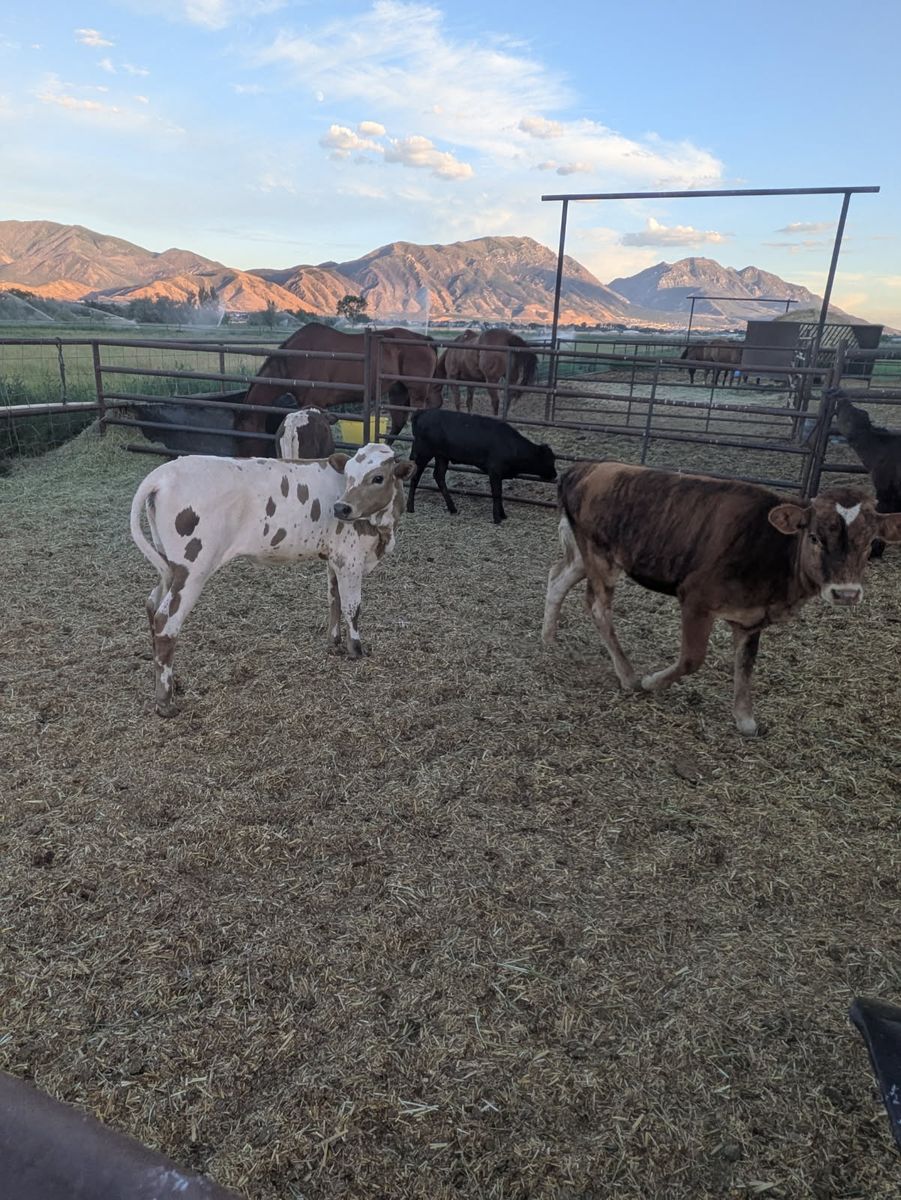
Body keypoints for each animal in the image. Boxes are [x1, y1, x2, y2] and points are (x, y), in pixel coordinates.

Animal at [130, 444, 417, 716]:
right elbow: (352, 607)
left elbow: (333, 600)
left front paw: (334, 645)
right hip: (193, 569)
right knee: (166, 620)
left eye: (378, 477)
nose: (340, 507)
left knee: (152, 604)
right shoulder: (351, 558)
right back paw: (165, 703)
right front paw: (356, 649)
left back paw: (173, 683)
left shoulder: (334, 559)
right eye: (348, 475)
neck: (384, 528)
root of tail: (162, 474)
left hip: (169, 565)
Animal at [406, 408, 557, 524]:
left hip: (442, 456)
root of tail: (423, 412)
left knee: (439, 476)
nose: (555, 475)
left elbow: (499, 493)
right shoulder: (494, 471)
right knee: (415, 476)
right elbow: (496, 493)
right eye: (550, 460)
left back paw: (452, 508)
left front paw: (503, 515)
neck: (511, 445)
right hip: (423, 453)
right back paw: (410, 507)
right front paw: (497, 518)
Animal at [542, 461, 901, 735]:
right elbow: (692, 658)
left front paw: (745, 719)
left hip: (583, 556)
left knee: (557, 578)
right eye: (814, 537)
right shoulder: (695, 598)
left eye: (869, 543)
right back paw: (628, 675)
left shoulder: (753, 618)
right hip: (601, 558)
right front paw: (651, 681)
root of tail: (583, 468)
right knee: (598, 607)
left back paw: (549, 636)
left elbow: (746, 665)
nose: (846, 593)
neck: (773, 550)